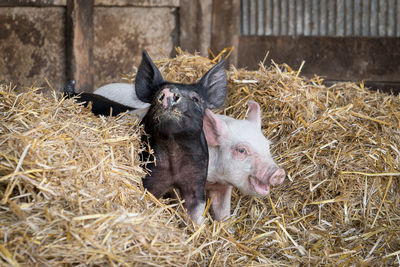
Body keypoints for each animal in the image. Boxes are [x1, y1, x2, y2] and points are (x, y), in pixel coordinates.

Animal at [66, 50, 228, 224]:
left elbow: (196, 213)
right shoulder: (148, 178)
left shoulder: (196, 180)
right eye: (156, 95)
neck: (174, 151)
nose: (168, 91)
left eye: (196, 99)